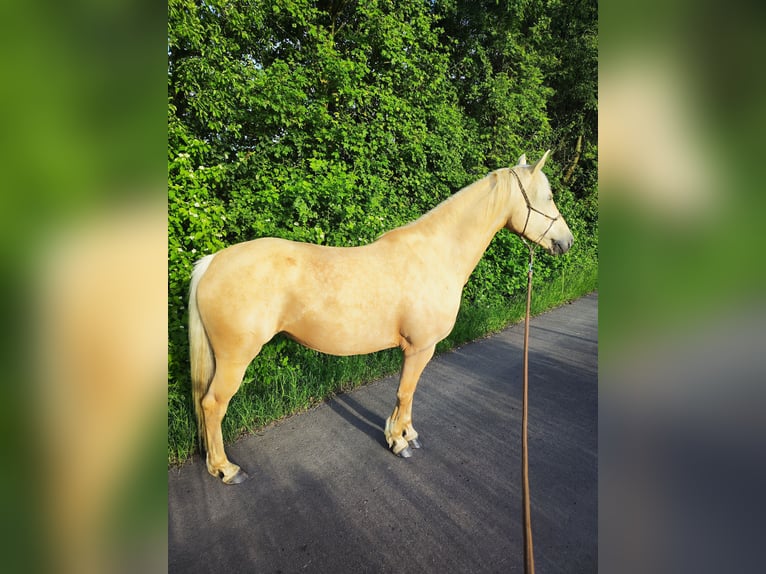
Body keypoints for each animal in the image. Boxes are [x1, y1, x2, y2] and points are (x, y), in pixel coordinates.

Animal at [189, 151, 573, 484]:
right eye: (549, 196)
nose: (566, 241)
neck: (436, 254)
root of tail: (212, 261)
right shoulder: (420, 348)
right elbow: (406, 392)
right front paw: (399, 442)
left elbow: (408, 394)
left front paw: (406, 433)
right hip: (235, 359)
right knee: (213, 404)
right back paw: (226, 469)